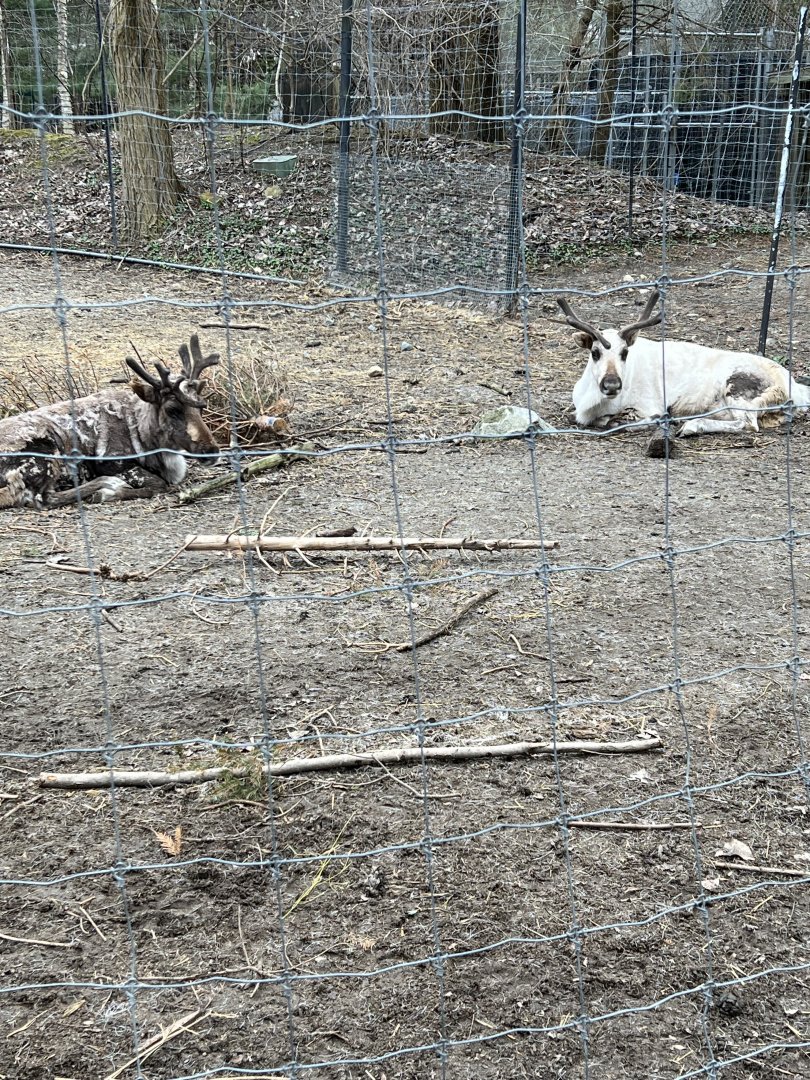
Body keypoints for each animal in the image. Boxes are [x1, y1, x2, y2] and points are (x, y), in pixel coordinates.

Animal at [0, 335, 220, 509]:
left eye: (201, 406)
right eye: (172, 409)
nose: (212, 451)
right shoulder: (113, 463)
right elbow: (157, 484)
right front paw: (108, 493)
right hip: (45, 452)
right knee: (42, 499)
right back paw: (107, 485)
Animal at [557, 290, 810, 436]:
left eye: (625, 352)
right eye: (595, 352)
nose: (611, 385)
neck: (592, 402)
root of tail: (793, 389)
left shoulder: (649, 405)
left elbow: (612, 422)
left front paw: (659, 420)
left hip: (739, 388)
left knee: (748, 424)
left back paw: (690, 426)